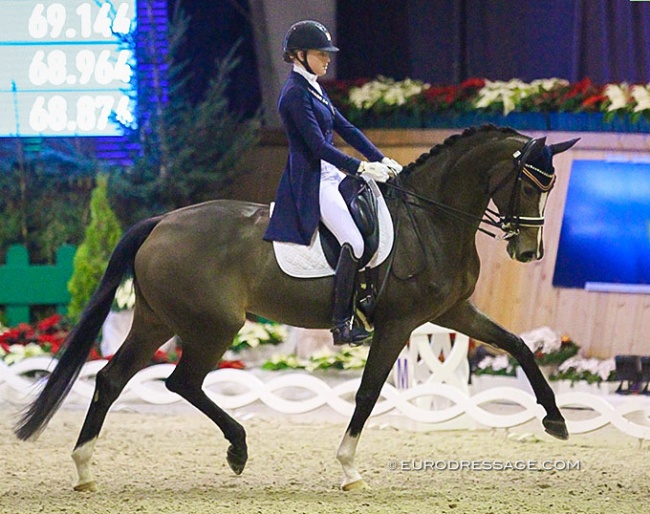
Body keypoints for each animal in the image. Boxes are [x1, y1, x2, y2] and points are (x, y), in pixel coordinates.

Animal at [12, 123, 576, 488]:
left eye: (548, 187)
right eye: (530, 184)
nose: (528, 252)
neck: (432, 220)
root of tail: (161, 222)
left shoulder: (451, 313)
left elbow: (519, 346)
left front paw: (556, 421)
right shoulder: (399, 324)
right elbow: (368, 392)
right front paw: (349, 467)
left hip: (156, 321)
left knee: (112, 379)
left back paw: (85, 468)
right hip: (215, 325)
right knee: (181, 382)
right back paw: (237, 448)